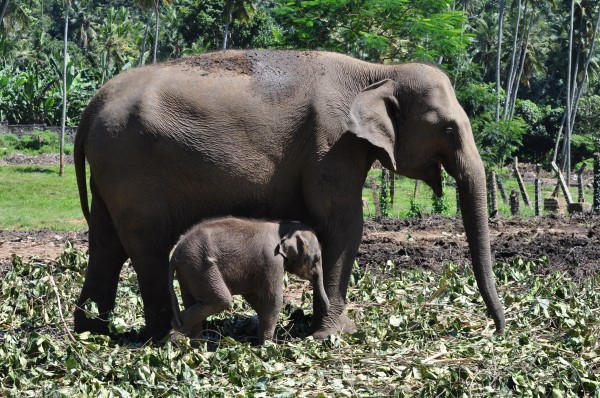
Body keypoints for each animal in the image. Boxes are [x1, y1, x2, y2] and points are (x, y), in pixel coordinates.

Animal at [168, 216, 328, 344]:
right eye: (317, 259)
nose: (326, 311)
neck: (284, 227)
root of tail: (174, 253)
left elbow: (254, 298)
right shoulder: (272, 261)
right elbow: (273, 299)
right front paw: (268, 346)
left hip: (188, 270)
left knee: (192, 300)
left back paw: (198, 342)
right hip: (199, 267)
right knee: (220, 300)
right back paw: (179, 327)